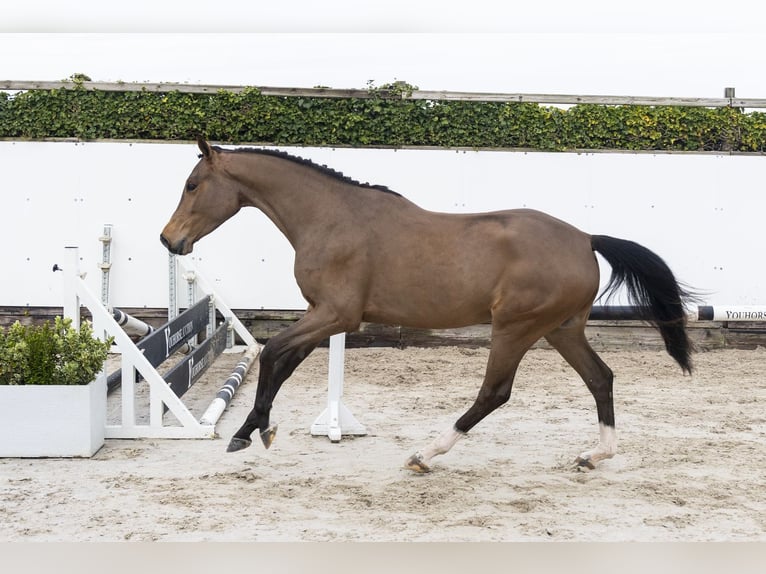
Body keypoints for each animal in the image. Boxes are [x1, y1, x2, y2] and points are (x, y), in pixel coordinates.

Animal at [160, 138, 695, 473]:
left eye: (192, 184)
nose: (170, 240)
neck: (331, 217)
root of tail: (585, 239)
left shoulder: (335, 315)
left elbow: (272, 354)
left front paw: (248, 431)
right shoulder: (321, 316)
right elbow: (283, 363)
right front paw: (257, 429)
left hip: (516, 328)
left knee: (494, 393)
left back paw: (425, 455)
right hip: (561, 329)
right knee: (600, 378)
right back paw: (592, 456)